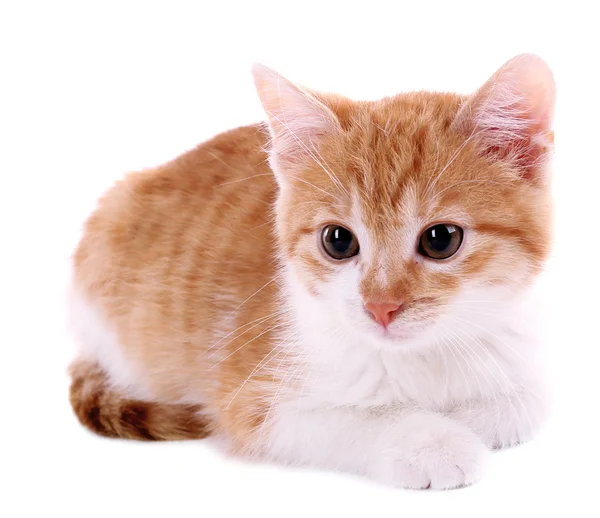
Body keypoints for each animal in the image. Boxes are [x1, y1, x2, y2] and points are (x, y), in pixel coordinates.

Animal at [68, 54, 556, 490]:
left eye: (441, 240)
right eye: (337, 241)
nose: (380, 307)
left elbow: (526, 402)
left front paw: (465, 416)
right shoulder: (254, 398)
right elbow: (349, 420)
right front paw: (432, 441)